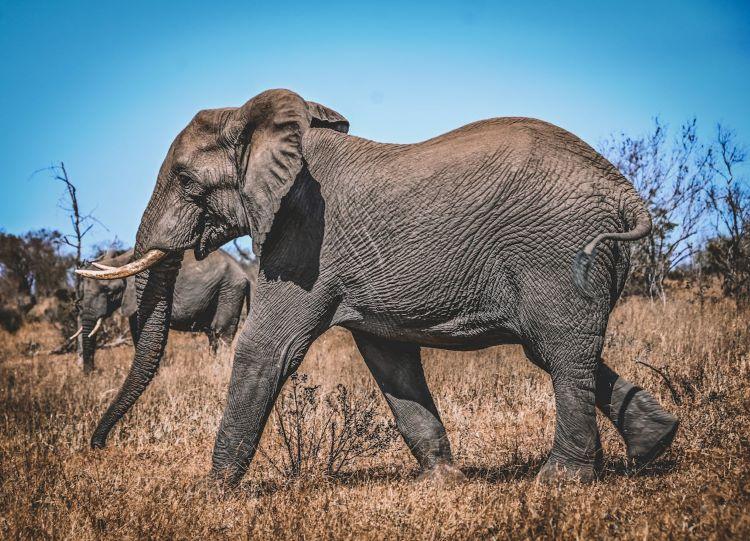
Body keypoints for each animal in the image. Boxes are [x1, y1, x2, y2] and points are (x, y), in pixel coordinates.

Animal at [74, 248, 251, 370]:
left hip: (229, 291)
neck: (121, 260)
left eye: (109, 292)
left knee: (222, 332)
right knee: (213, 336)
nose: (91, 373)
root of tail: (245, 274)